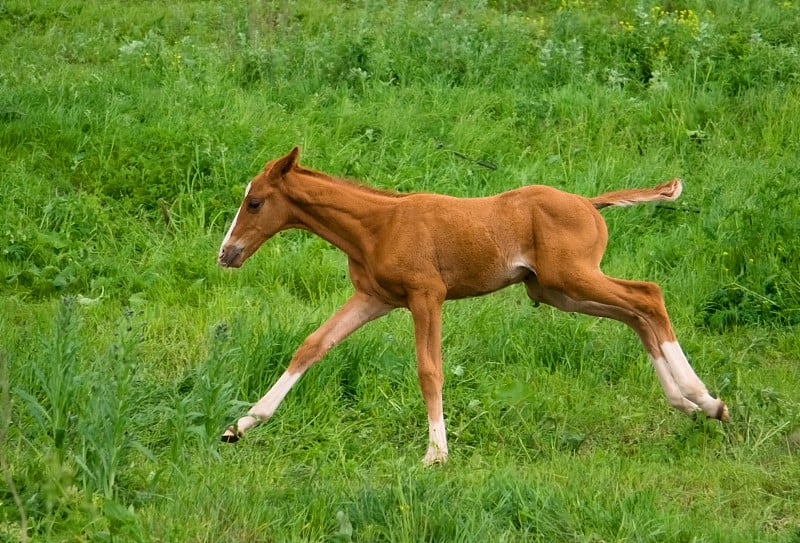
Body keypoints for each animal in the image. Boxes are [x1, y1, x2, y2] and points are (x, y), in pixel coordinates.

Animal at [216, 147, 728, 466]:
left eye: (255, 202)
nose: (227, 254)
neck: (378, 225)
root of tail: (588, 202)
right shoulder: (373, 298)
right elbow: (312, 346)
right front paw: (241, 425)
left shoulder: (427, 296)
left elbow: (429, 370)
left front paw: (436, 454)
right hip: (554, 291)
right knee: (635, 315)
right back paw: (690, 405)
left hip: (572, 277)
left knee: (647, 296)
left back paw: (706, 399)